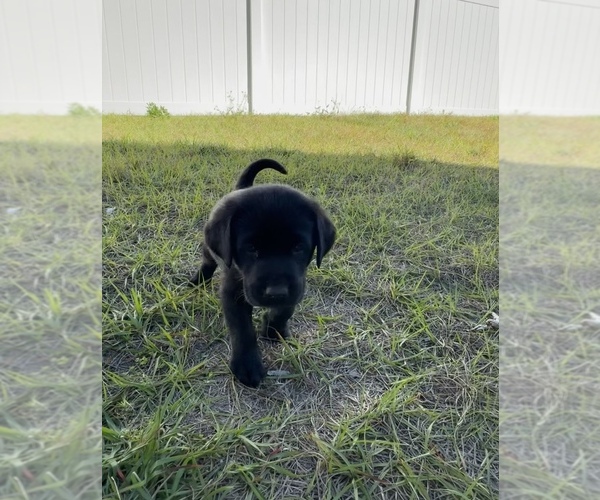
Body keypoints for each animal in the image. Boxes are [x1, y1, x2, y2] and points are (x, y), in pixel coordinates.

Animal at [191, 159, 336, 386]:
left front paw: (272, 328)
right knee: (207, 263)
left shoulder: (298, 284)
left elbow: (286, 309)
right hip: (209, 250)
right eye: (251, 248)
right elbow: (242, 329)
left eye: (298, 247)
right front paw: (247, 365)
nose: (275, 292)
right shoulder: (233, 291)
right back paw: (197, 281)